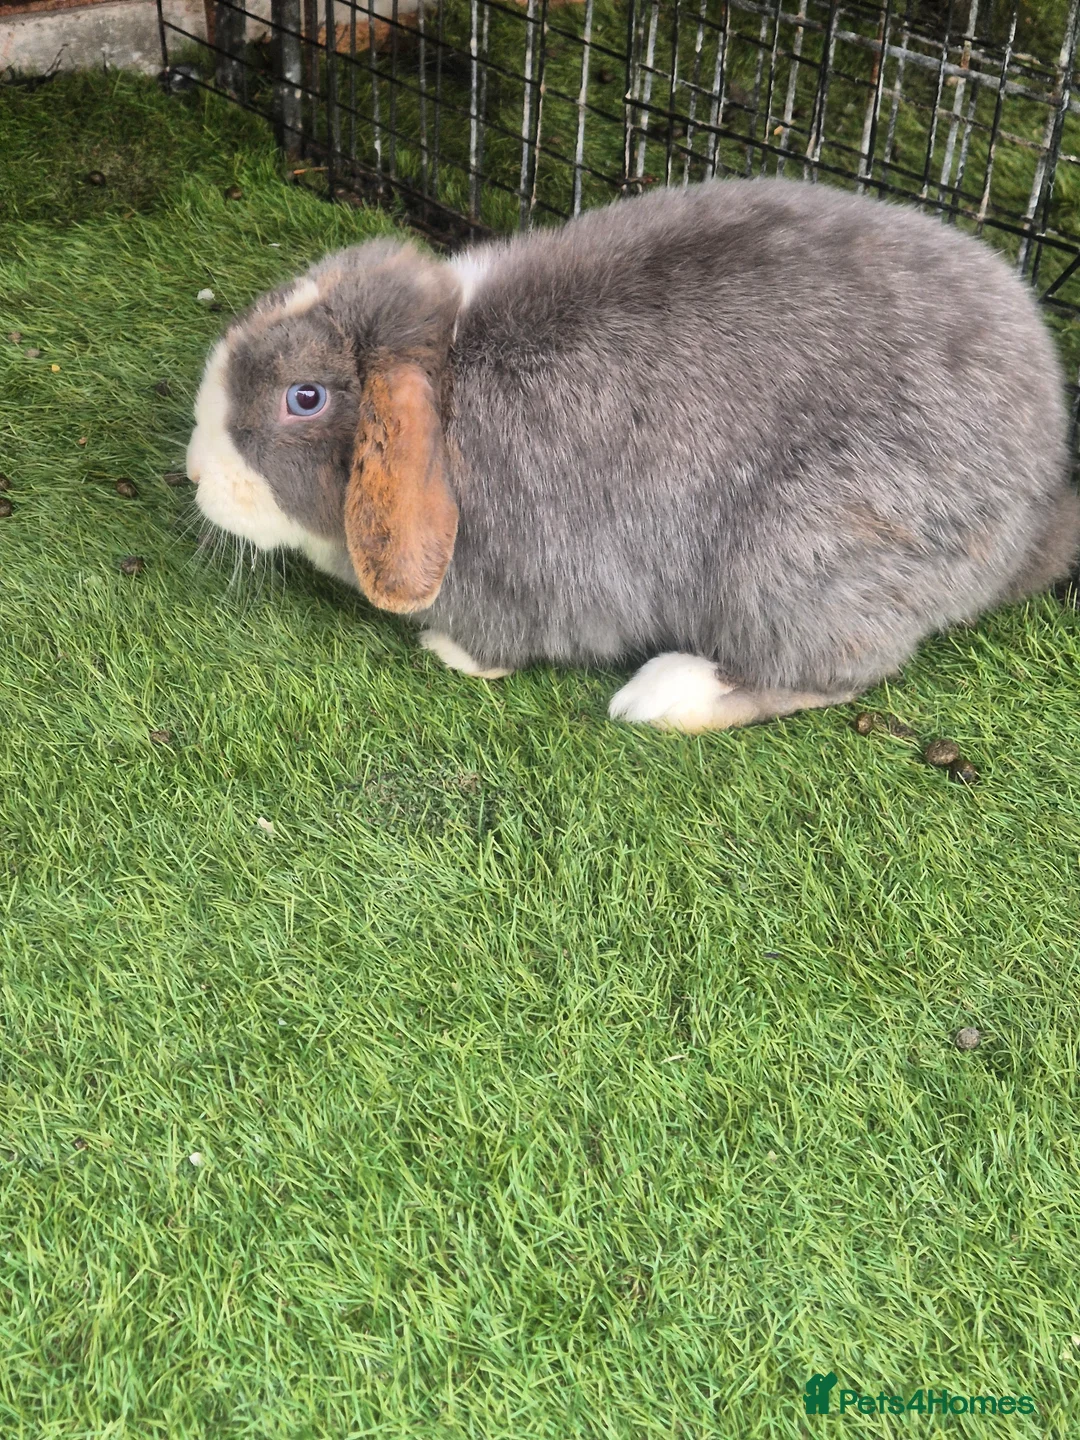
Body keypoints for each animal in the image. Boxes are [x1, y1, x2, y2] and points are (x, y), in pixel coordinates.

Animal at [186, 178, 1080, 730]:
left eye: (304, 398)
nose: (194, 474)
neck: (451, 385)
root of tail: (1035, 508)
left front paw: (448, 652)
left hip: (807, 555)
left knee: (828, 671)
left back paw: (663, 696)